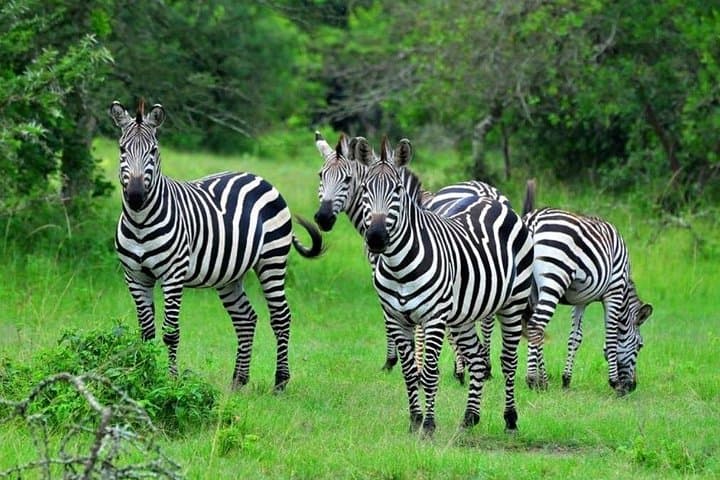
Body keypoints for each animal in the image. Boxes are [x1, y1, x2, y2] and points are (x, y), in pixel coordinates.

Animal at [108, 100, 323, 392]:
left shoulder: (173, 276)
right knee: (246, 318)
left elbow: (170, 333)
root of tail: (259, 177)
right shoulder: (135, 276)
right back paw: (238, 381)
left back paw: (280, 382)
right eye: (122, 149)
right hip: (230, 275)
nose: (136, 196)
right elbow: (146, 333)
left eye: (153, 150)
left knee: (281, 317)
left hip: (272, 261)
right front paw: (143, 376)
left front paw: (171, 381)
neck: (140, 221)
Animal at [313, 131, 508, 382]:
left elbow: (397, 321)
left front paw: (394, 361)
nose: (323, 218)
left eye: (347, 179)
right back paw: (486, 366)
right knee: (487, 315)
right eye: (321, 175)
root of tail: (486, 191)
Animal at [356, 136, 533, 435]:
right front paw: (415, 421)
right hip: (463, 316)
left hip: (513, 304)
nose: (376, 238)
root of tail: (494, 201)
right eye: (366, 189)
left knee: (508, 361)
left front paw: (428, 425)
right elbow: (409, 372)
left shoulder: (434, 318)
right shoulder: (396, 318)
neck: (398, 267)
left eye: (398, 190)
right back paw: (470, 417)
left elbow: (428, 373)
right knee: (476, 358)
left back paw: (510, 419)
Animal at [521, 179, 653, 394]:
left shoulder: (581, 300)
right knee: (536, 325)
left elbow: (575, 337)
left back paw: (542, 380)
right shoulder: (614, 290)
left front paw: (566, 379)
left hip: (530, 288)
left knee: (533, 327)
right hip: (554, 278)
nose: (632, 387)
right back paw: (534, 380)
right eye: (640, 346)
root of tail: (533, 220)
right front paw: (614, 382)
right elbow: (611, 335)